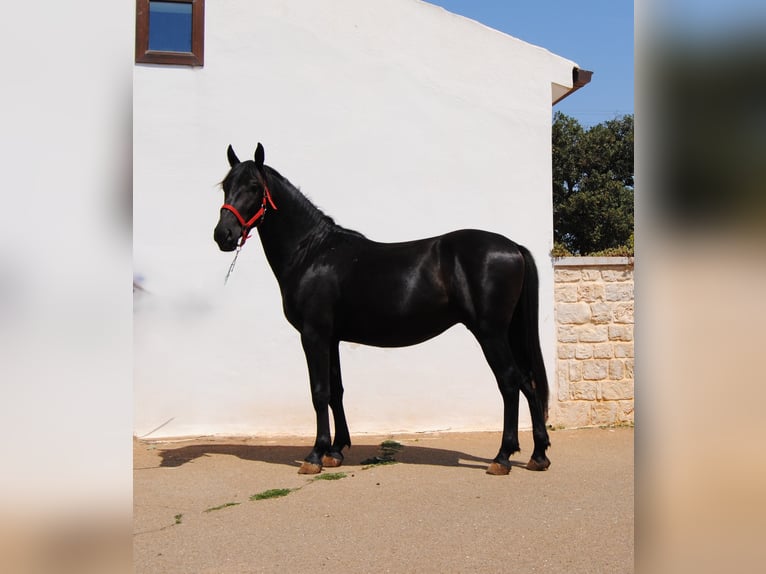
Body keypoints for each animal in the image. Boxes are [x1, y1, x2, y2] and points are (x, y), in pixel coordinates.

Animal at [213, 143, 551, 475]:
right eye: (226, 185)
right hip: (508, 333)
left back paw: (503, 457)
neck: (312, 253)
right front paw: (336, 450)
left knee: (510, 382)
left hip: (490, 333)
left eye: (254, 186)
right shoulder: (331, 338)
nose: (223, 235)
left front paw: (315, 455)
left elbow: (319, 392)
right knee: (528, 383)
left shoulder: (313, 335)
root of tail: (513, 247)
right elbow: (336, 391)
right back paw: (538, 455)